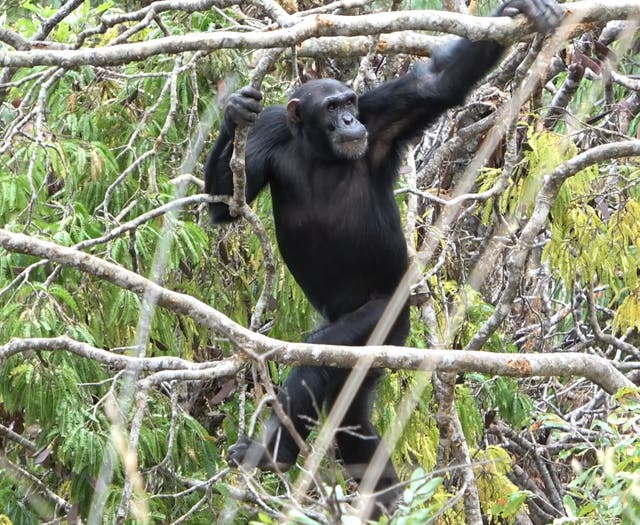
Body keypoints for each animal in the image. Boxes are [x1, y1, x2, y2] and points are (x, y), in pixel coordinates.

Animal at [205, 0, 560, 516]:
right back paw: (380, 496)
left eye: (350, 103)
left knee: (322, 357)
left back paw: (276, 455)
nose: (349, 122)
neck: (317, 148)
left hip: (386, 321)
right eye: (331, 107)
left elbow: (436, 85)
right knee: (350, 416)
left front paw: (521, 11)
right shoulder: (272, 127)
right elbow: (226, 208)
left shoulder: (382, 116)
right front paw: (234, 112)